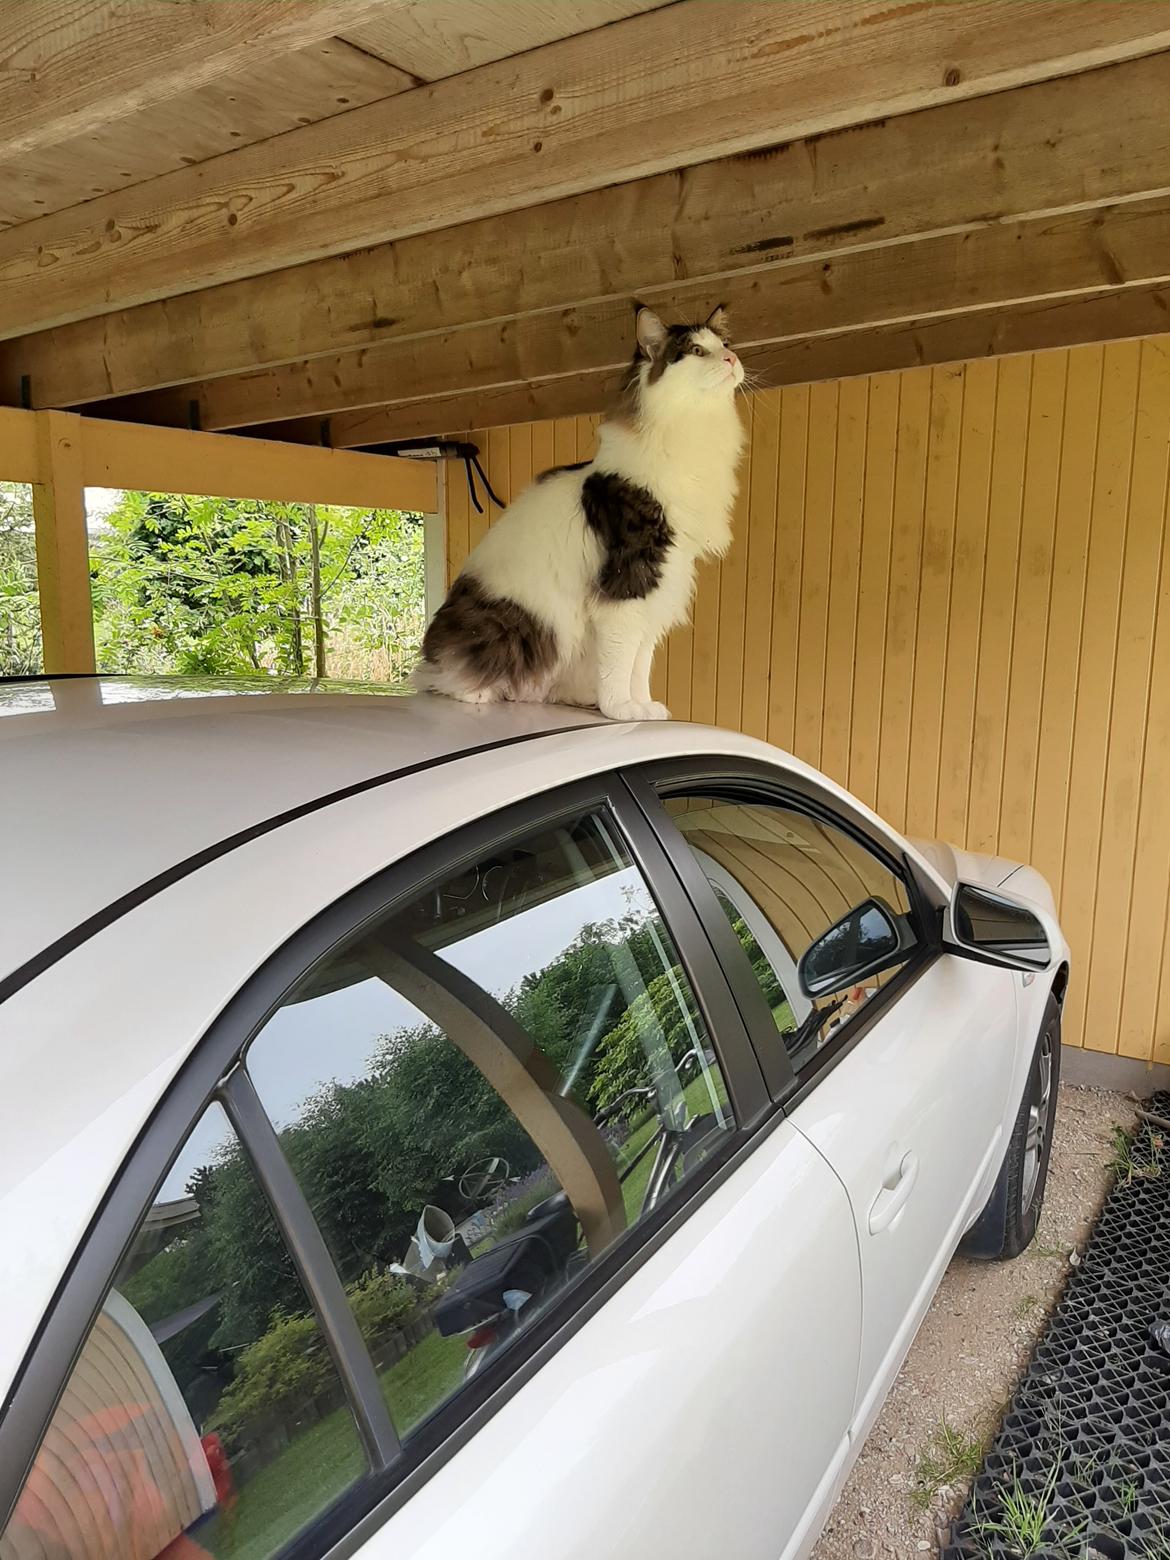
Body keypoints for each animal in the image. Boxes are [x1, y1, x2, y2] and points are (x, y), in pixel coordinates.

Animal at [418, 304, 751, 717]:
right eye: (696, 351)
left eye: (725, 345)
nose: (732, 359)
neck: (696, 433)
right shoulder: (628, 585)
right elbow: (622, 663)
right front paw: (622, 709)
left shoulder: (661, 584)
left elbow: (641, 662)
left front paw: (645, 706)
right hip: (519, 625)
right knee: (451, 679)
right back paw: (483, 692)